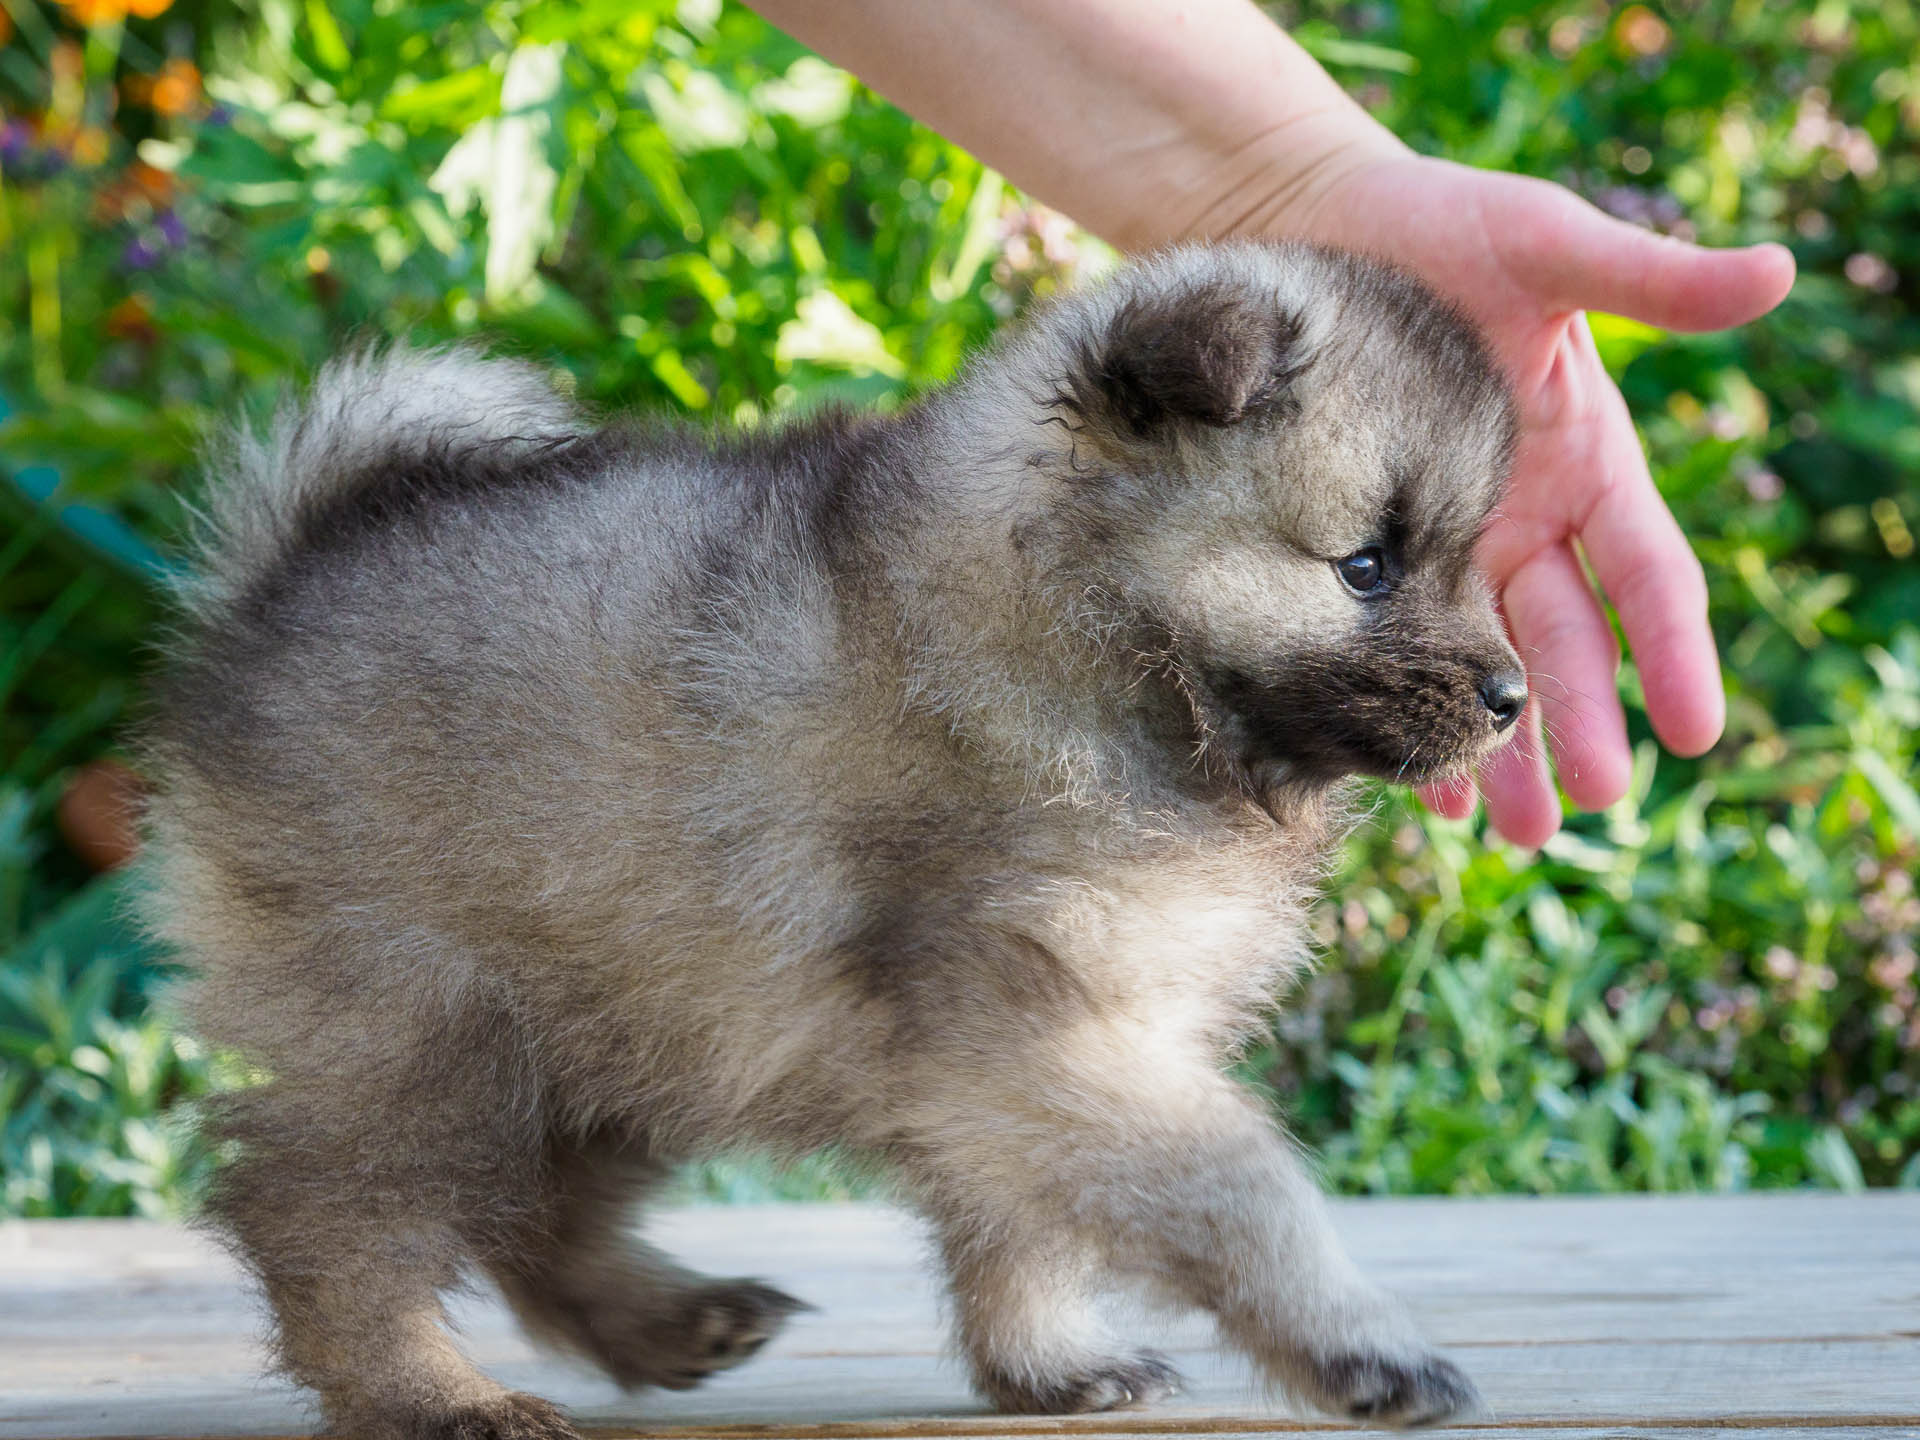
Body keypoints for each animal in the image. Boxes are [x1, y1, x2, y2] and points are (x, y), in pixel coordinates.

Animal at [142, 242, 1528, 1436]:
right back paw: (431, 1395)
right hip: (431, 1023)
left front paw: (1047, 1362)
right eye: (1364, 566)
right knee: (327, 1218)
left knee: (536, 1216)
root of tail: (284, 570)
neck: (1094, 633)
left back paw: (667, 1323)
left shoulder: (1020, 1046)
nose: (1514, 698)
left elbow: (1019, 1226)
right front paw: (1357, 1340)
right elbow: (1235, 1183)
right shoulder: (1028, 1021)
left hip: (630, 1017)